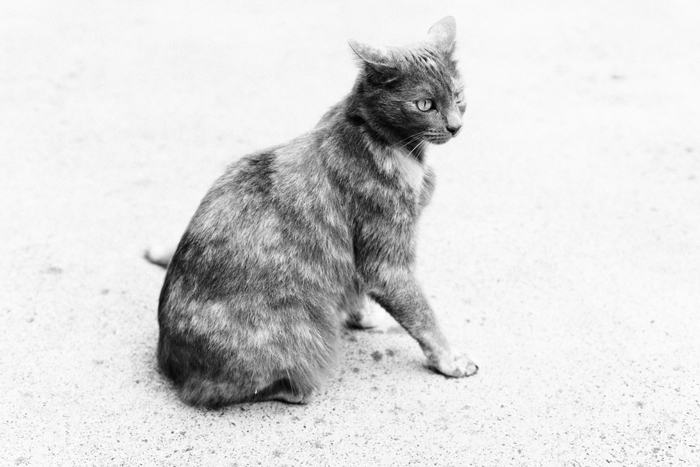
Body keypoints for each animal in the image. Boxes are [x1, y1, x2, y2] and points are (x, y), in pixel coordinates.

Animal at [156, 16, 478, 408]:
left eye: (458, 95)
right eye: (424, 104)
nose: (455, 126)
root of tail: (171, 366)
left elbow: (358, 286)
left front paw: (362, 315)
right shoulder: (386, 260)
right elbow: (423, 315)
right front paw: (450, 360)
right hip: (301, 333)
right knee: (233, 389)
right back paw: (301, 385)